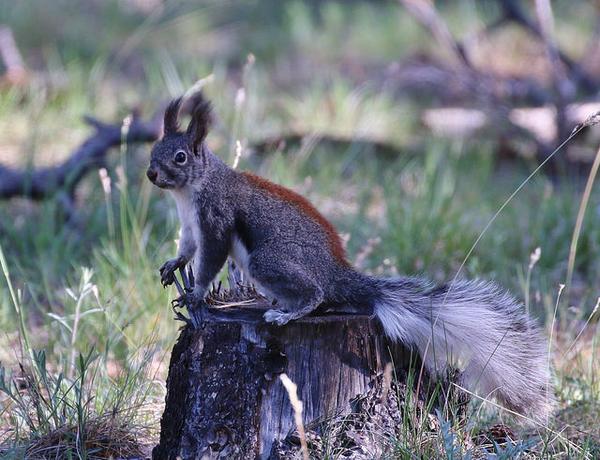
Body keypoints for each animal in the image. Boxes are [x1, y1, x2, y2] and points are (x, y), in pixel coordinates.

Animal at [146, 92, 552, 420]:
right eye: (153, 151)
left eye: (179, 158)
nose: (151, 174)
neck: (192, 190)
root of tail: (337, 274)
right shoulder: (190, 225)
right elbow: (188, 249)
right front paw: (173, 266)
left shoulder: (215, 218)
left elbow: (210, 258)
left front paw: (196, 295)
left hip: (268, 261)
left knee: (316, 296)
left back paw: (287, 312)